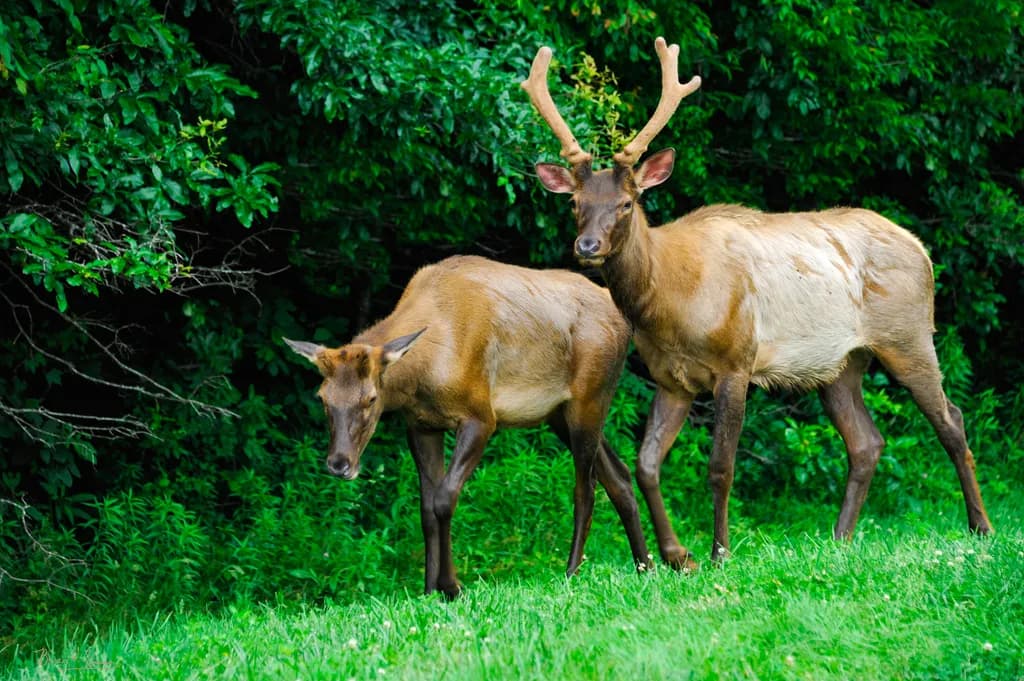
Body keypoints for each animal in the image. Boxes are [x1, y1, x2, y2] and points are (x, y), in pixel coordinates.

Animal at [284, 255, 652, 599]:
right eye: (322, 397)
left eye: (371, 398)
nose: (339, 463)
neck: (423, 375)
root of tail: (625, 323)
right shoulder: (421, 426)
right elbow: (425, 508)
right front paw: (429, 590)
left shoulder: (481, 417)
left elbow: (445, 498)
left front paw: (451, 585)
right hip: (560, 414)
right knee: (618, 475)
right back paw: (647, 564)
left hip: (589, 399)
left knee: (585, 487)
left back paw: (572, 572)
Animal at [522, 37, 993, 568]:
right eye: (575, 203)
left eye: (627, 202)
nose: (587, 246)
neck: (673, 301)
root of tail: (921, 249)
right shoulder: (671, 378)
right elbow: (647, 466)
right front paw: (675, 555)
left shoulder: (736, 362)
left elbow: (721, 467)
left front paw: (719, 552)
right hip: (841, 364)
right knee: (867, 442)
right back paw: (840, 538)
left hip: (909, 334)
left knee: (951, 420)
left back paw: (980, 527)